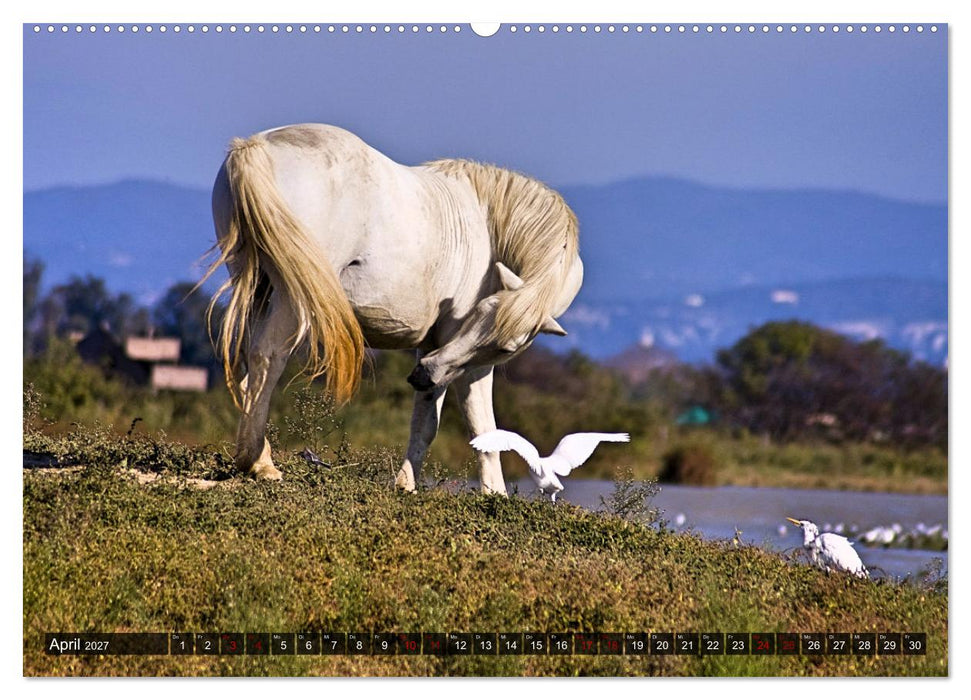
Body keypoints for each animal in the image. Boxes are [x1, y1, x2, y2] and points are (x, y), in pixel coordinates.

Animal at [204, 123, 583, 494]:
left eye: (503, 344)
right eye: (480, 316)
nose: (421, 374)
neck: (489, 225)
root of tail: (256, 146)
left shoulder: (434, 349)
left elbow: (426, 423)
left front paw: (405, 484)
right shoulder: (461, 356)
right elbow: (480, 426)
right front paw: (495, 493)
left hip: (255, 287)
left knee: (246, 367)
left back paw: (258, 455)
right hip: (292, 296)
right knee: (266, 357)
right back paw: (259, 464)